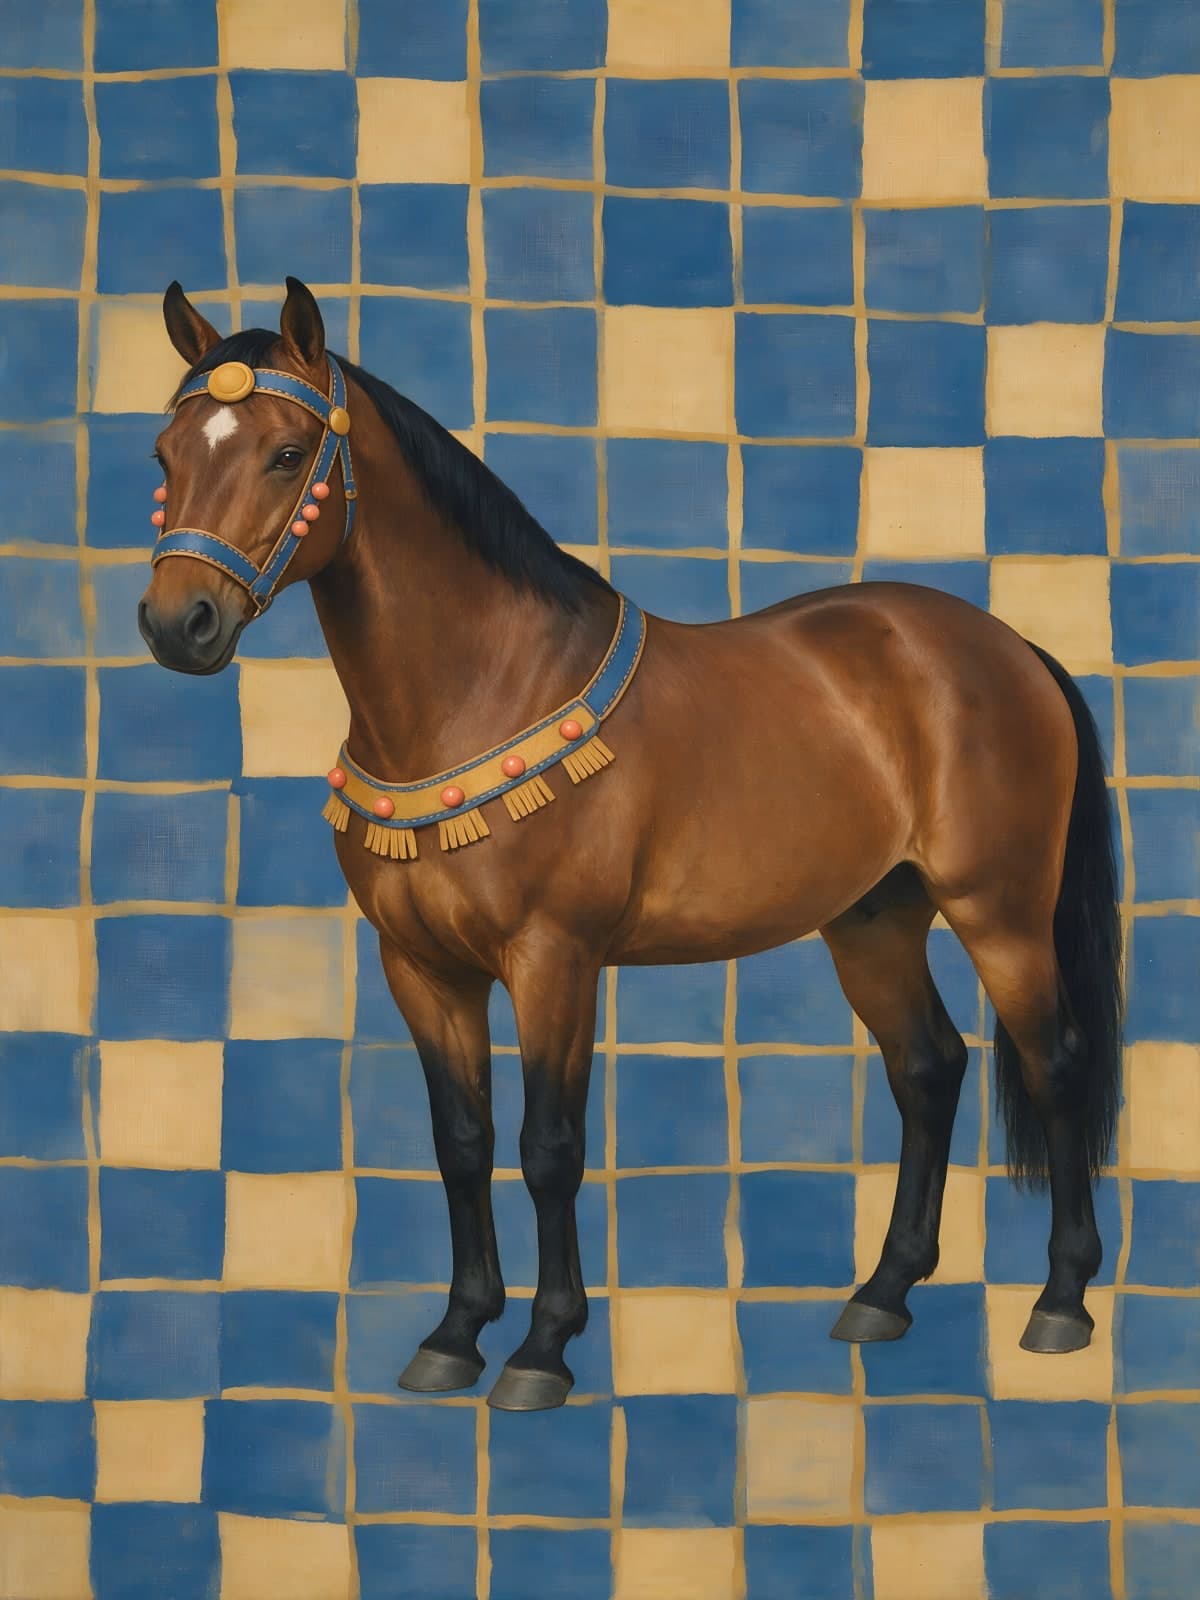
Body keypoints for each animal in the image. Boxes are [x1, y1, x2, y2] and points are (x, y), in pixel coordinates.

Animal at [135, 278, 1123, 1413]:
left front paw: (541, 1350)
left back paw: (1060, 1304)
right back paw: (882, 1294)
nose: (178, 623)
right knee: (928, 1066)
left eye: (288, 453)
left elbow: (548, 1146)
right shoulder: (420, 968)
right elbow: (461, 1142)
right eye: (164, 453)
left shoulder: (554, 960)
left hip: (1000, 911)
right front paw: (454, 1335)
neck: (479, 689)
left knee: (1054, 1063)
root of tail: (1007, 647)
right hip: (872, 921)